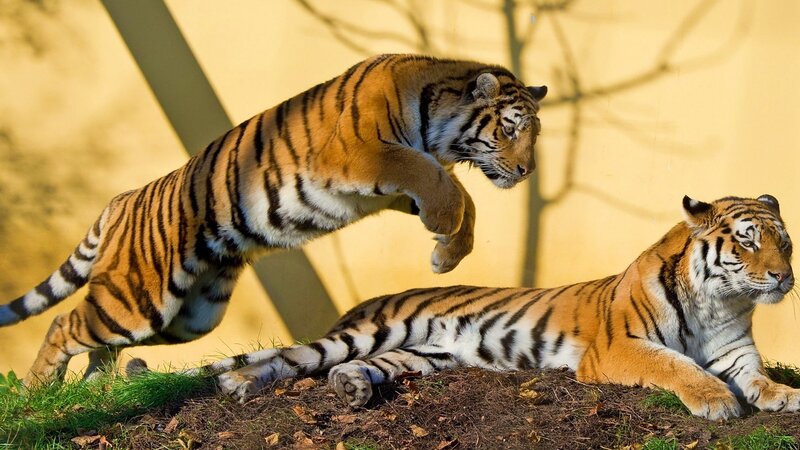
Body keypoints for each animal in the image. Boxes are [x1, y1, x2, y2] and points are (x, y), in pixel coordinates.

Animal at [0, 53, 548, 386]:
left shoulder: (389, 188)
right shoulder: (364, 155)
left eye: (535, 134)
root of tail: (122, 198)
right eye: (510, 128)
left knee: (99, 343)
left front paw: (448, 252)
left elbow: (461, 195)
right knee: (64, 323)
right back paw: (37, 393)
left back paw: (96, 390)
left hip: (187, 318)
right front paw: (443, 228)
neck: (438, 122)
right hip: (138, 299)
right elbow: (438, 180)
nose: (527, 171)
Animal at [162, 194, 797, 421]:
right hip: (363, 334)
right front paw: (717, 402)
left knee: (349, 368)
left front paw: (784, 396)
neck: (720, 302)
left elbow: (758, 376)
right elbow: (676, 365)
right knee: (292, 357)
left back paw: (353, 389)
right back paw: (240, 384)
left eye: (784, 242)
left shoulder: (736, 352)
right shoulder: (620, 347)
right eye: (747, 241)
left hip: (419, 356)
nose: (784, 277)